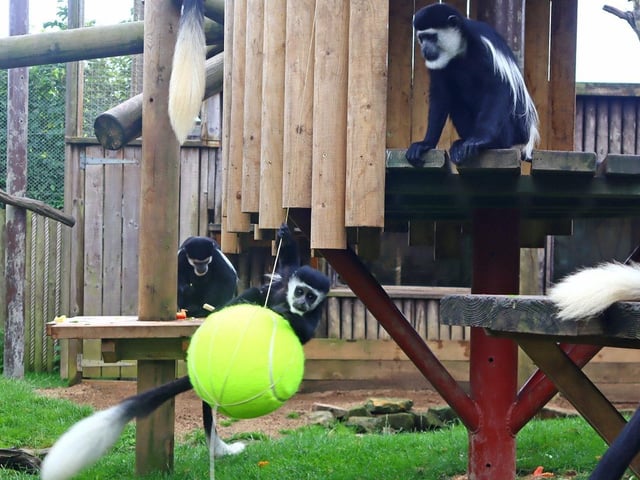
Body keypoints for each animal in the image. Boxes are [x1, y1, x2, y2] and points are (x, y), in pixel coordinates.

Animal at [40, 225, 331, 480]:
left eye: (311, 297)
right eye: (301, 291)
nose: (302, 301)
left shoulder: (309, 313)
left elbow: (302, 329)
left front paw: (283, 313)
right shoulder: (286, 277)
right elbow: (286, 265)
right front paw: (285, 236)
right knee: (251, 293)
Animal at [406, 3, 539, 166]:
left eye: (431, 37)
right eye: (421, 38)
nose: (424, 49)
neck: (460, 51)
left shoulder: (484, 48)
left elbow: (497, 88)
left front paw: (480, 140)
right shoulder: (438, 65)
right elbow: (440, 96)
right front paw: (426, 143)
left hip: (512, 130)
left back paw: (493, 143)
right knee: (455, 101)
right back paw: (461, 143)